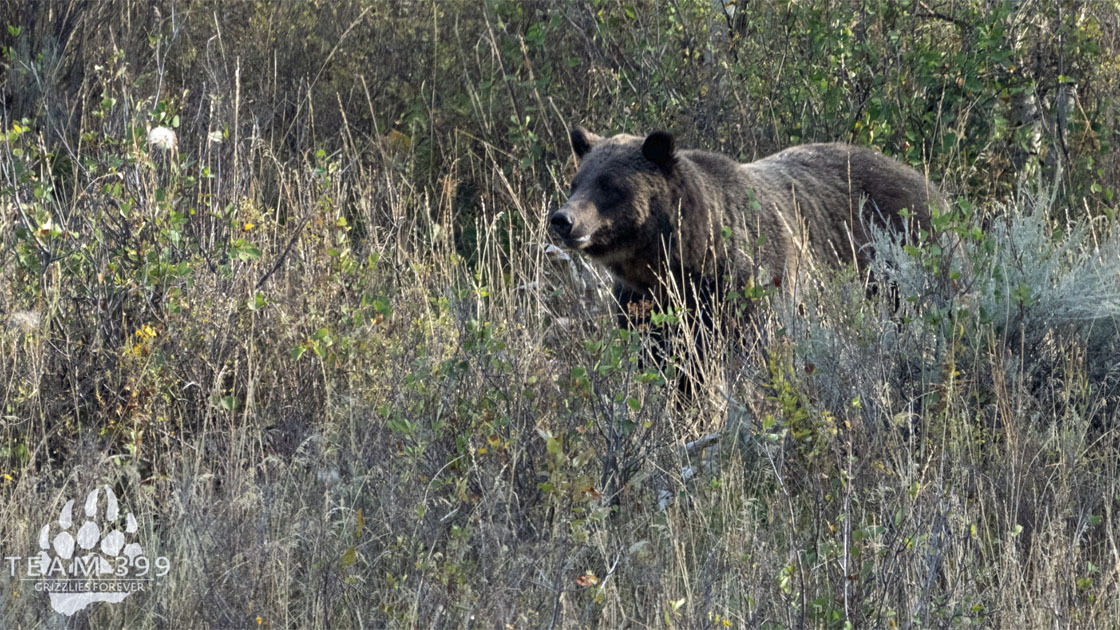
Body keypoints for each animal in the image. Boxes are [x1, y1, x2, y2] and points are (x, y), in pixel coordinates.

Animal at [546, 127, 940, 399]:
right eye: (576, 182)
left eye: (609, 185)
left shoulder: (750, 287)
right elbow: (666, 366)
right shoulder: (646, 306)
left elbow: (756, 353)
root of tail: (925, 181)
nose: (563, 219)